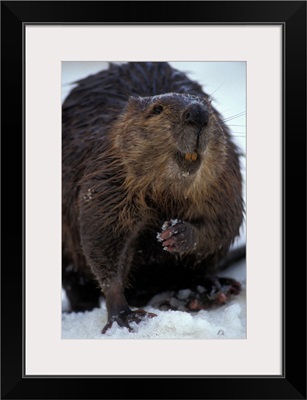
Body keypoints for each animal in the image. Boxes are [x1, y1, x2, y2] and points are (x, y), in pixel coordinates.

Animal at [62, 61, 245, 332]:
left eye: (209, 106)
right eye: (157, 109)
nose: (198, 114)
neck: (168, 191)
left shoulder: (224, 180)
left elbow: (222, 224)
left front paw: (177, 234)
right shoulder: (108, 178)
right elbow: (103, 238)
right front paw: (124, 317)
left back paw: (203, 291)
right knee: (75, 280)